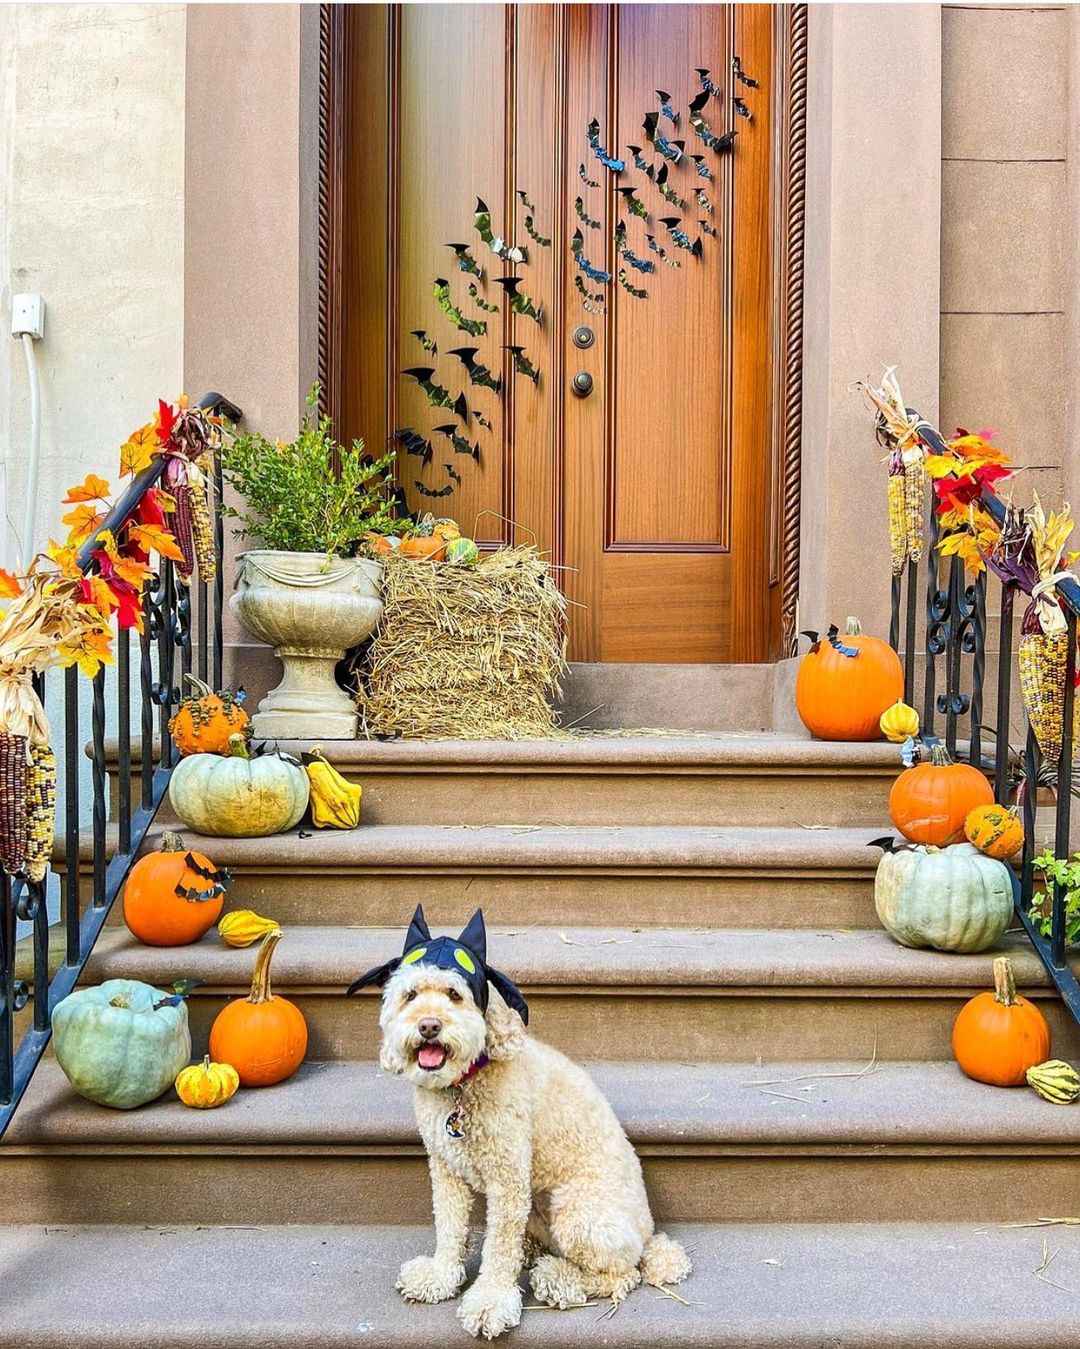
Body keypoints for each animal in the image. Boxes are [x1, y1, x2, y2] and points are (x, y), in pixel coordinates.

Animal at [350, 906, 695, 1338]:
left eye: (454, 995)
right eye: (410, 995)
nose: (428, 1025)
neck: (463, 1084)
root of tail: (649, 1235)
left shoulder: (508, 1177)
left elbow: (498, 1249)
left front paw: (490, 1302)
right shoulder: (446, 1170)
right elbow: (449, 1226)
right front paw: (439, 1276)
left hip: (578, 1212)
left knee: (622, 1274)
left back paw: (558, 1277)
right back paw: (532, 1252)